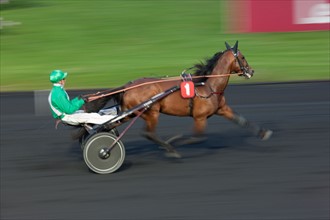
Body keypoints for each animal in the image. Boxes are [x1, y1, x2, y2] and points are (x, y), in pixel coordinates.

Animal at [85, 41, 274, 157]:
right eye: (242, 57)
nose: (251, 71)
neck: (209, 86)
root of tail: (128, 85)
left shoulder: (222, 109)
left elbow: (242, 120)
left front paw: (263, 132)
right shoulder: (200, 117)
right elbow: (197, 137)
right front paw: (173, 142)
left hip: (132, 112)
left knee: (109, 125)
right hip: (151, 112)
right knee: (148, 133)